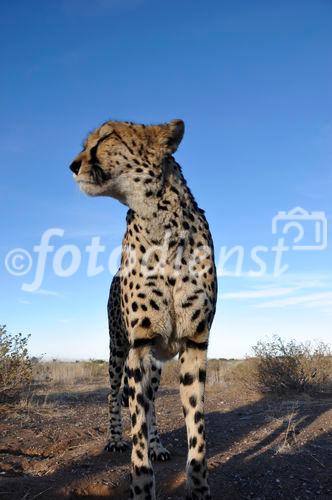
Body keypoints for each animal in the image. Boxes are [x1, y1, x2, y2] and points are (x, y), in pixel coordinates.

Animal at [69, 120, 218, 500]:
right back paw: (115, 439)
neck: (160, 224)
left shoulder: (195, 343)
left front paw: (198, 485)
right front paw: (140, 482)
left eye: (106, 137)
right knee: (115, 396)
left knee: (150, 403)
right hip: (118, 350)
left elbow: (196, 426)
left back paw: (158, 445)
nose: (73, 165)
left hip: (156, 364)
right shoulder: (139, 344)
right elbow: (136, 430)